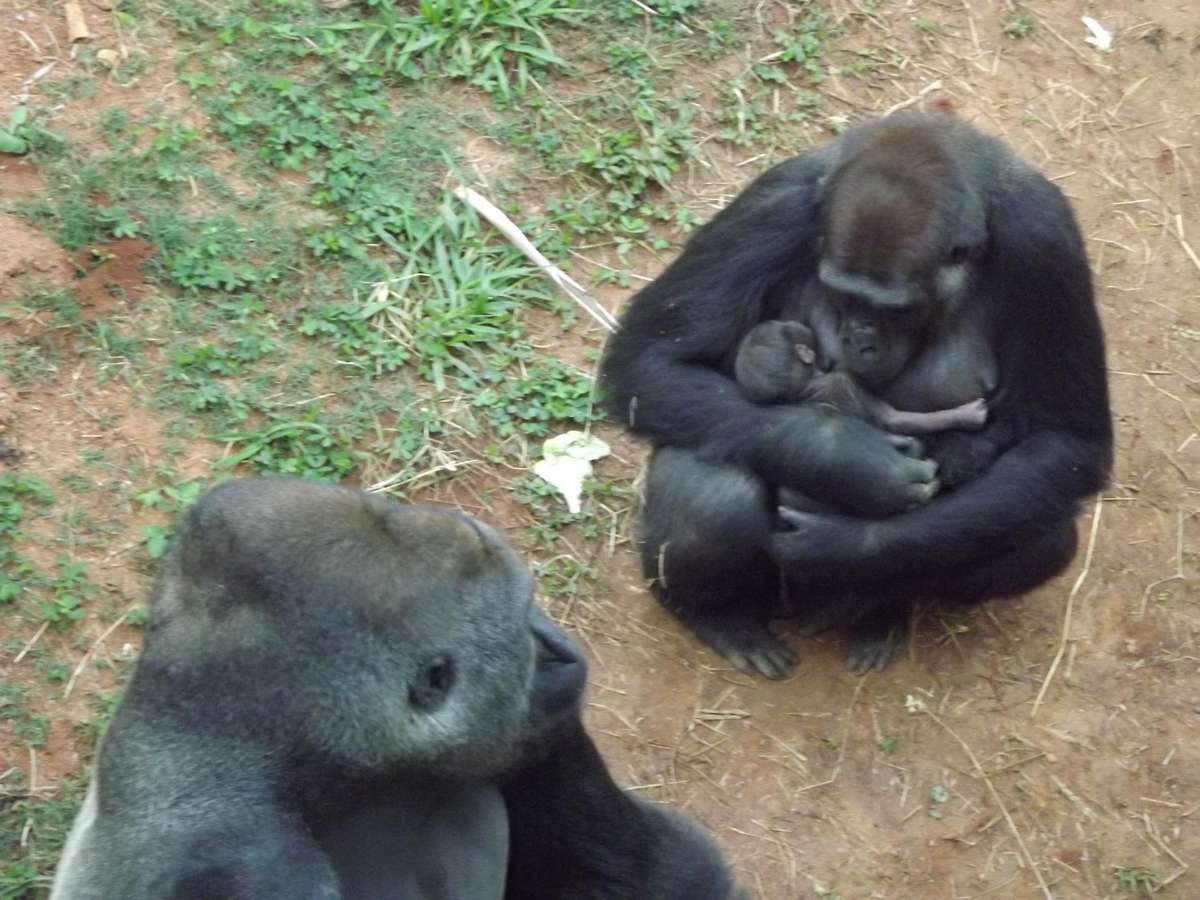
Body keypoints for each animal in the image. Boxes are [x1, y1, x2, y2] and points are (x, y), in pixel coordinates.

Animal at [734, 321, 988, 436]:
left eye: (782, 324)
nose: (794, 323)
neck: (808, 384)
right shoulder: (847, 382)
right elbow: (895, 420)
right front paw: (967, 414)